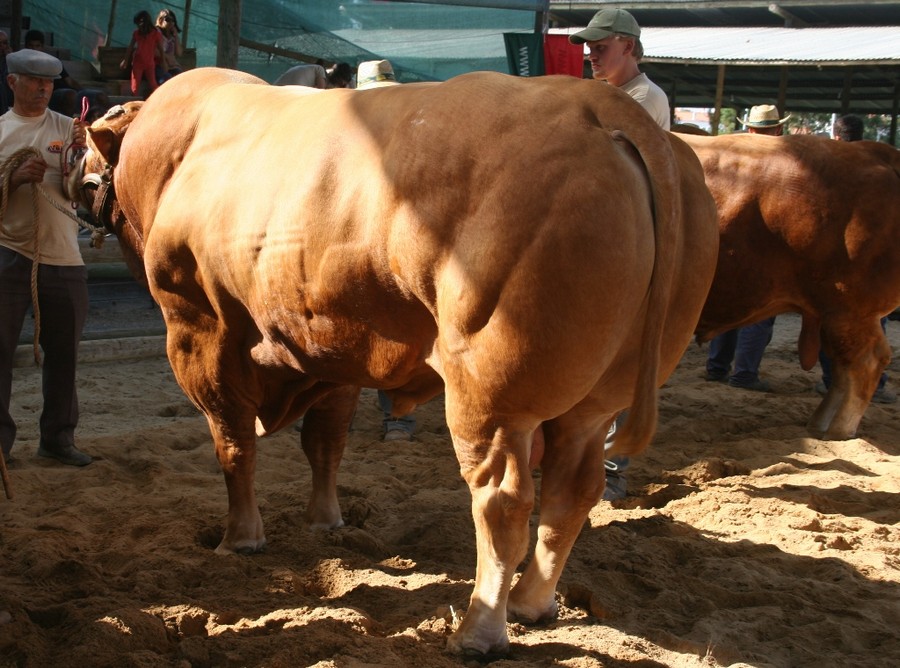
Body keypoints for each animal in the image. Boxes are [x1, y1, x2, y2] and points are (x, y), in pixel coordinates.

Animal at [69, 68, 718, 656]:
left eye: (82, 163)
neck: (180, 154)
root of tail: (598, 105)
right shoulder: (330, 346)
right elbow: (325, 443)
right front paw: (325, 521)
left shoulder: (197, 333)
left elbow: (233, 445)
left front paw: (240, 538)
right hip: (596, 399)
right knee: (572, 492)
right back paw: (532, 603)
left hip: (491, 396)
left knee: (503, 500)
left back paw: (479, 631)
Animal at [680, 132, 900, 440]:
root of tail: (872, 150)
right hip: (832, 314)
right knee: (843, 367)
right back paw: (820, 424)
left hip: (849, 310)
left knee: (865, 362)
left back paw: (839, 430)